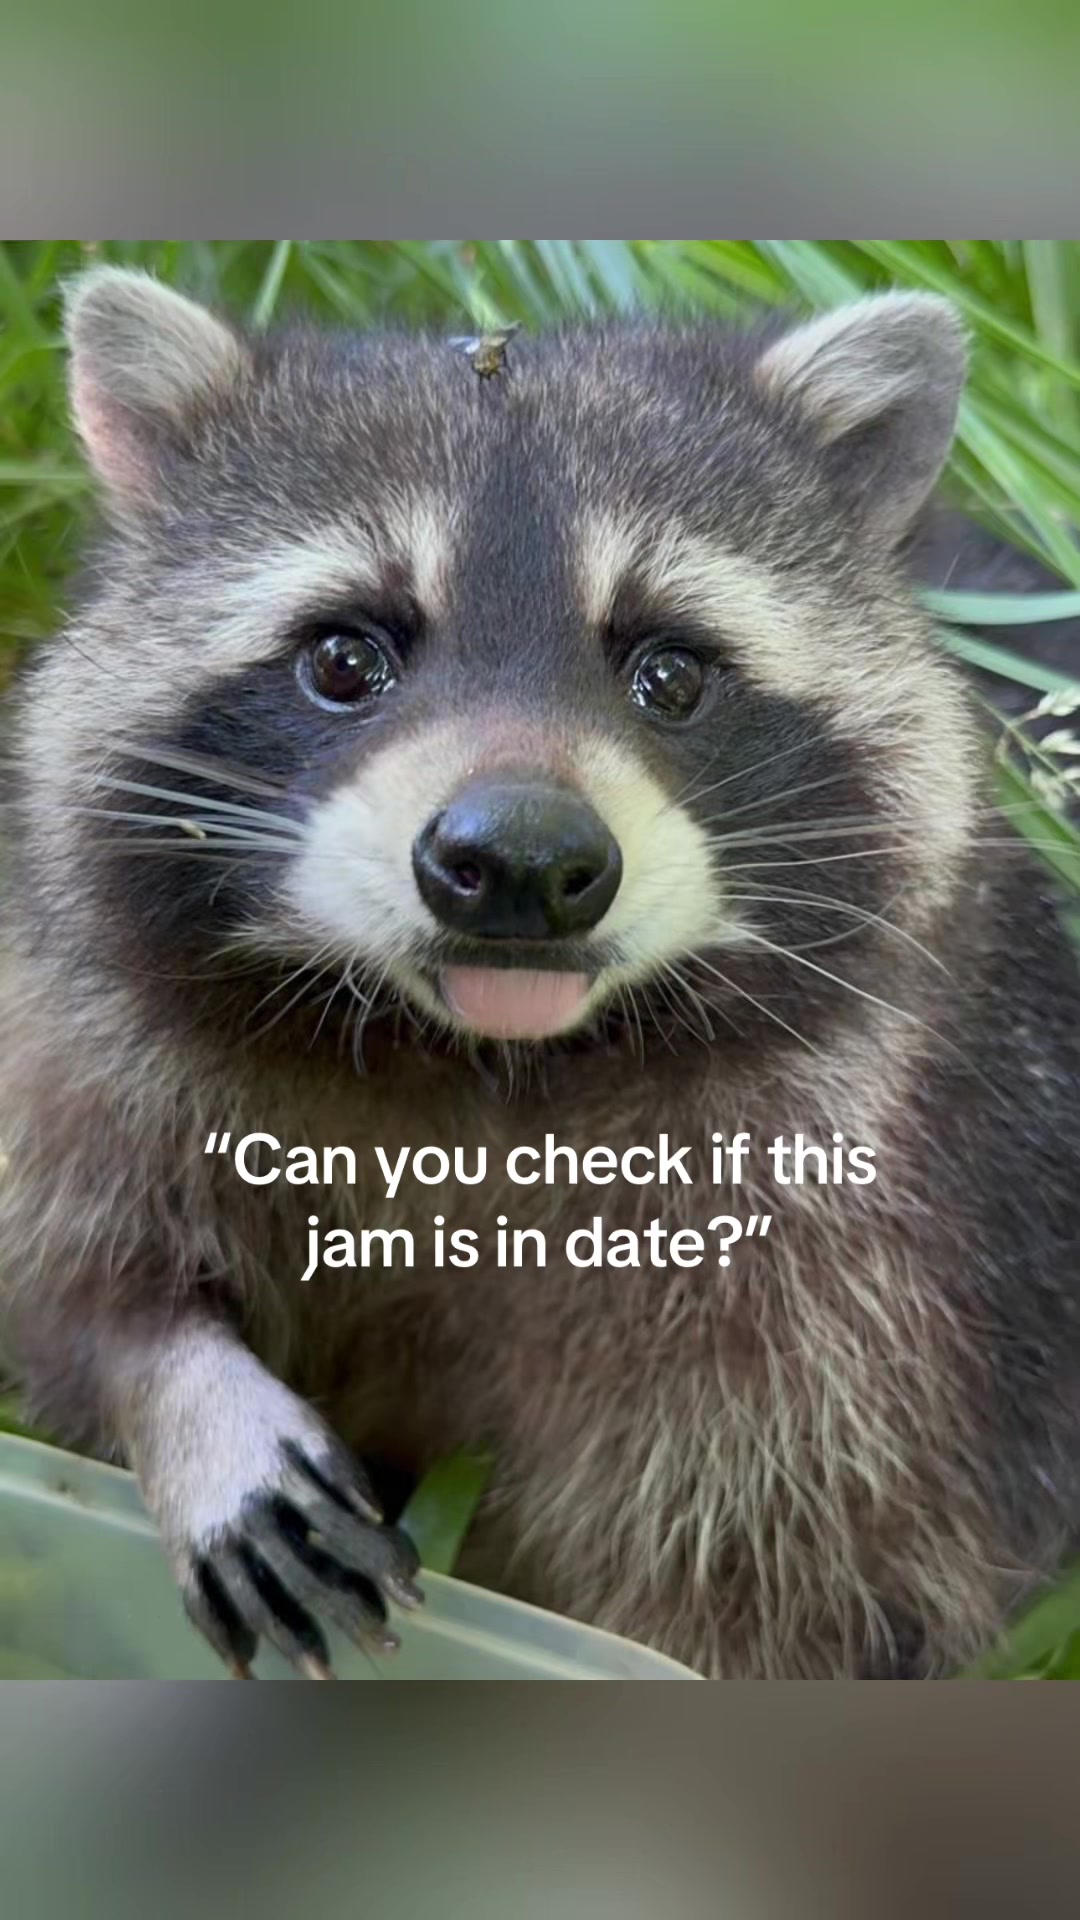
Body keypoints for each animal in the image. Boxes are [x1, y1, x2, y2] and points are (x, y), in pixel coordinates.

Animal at [2, 267, 1079, 1680]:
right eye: (345, 659)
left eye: (670, 672)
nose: (518, 860)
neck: (479, 1059)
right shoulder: (99, 1021)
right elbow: (65, 1260)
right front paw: (180, 1389)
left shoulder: (883, 1262)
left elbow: (795, 1578)